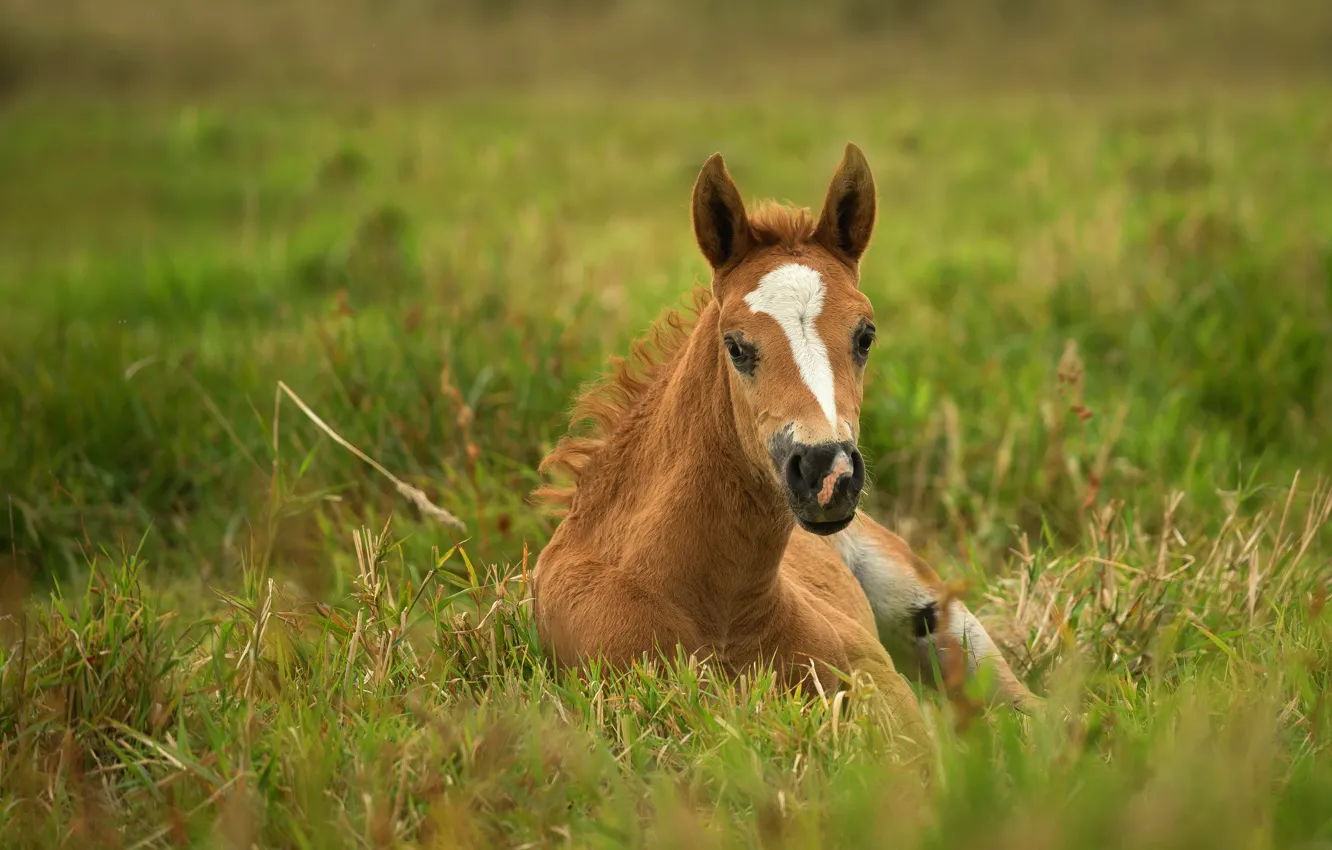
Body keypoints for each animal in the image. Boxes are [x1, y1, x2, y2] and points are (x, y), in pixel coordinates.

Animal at [530, 141, 1038, 746]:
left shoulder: (873, 673)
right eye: (736, 345)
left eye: (865, 335)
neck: (715, 607)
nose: (828, 474)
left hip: (938, 618)